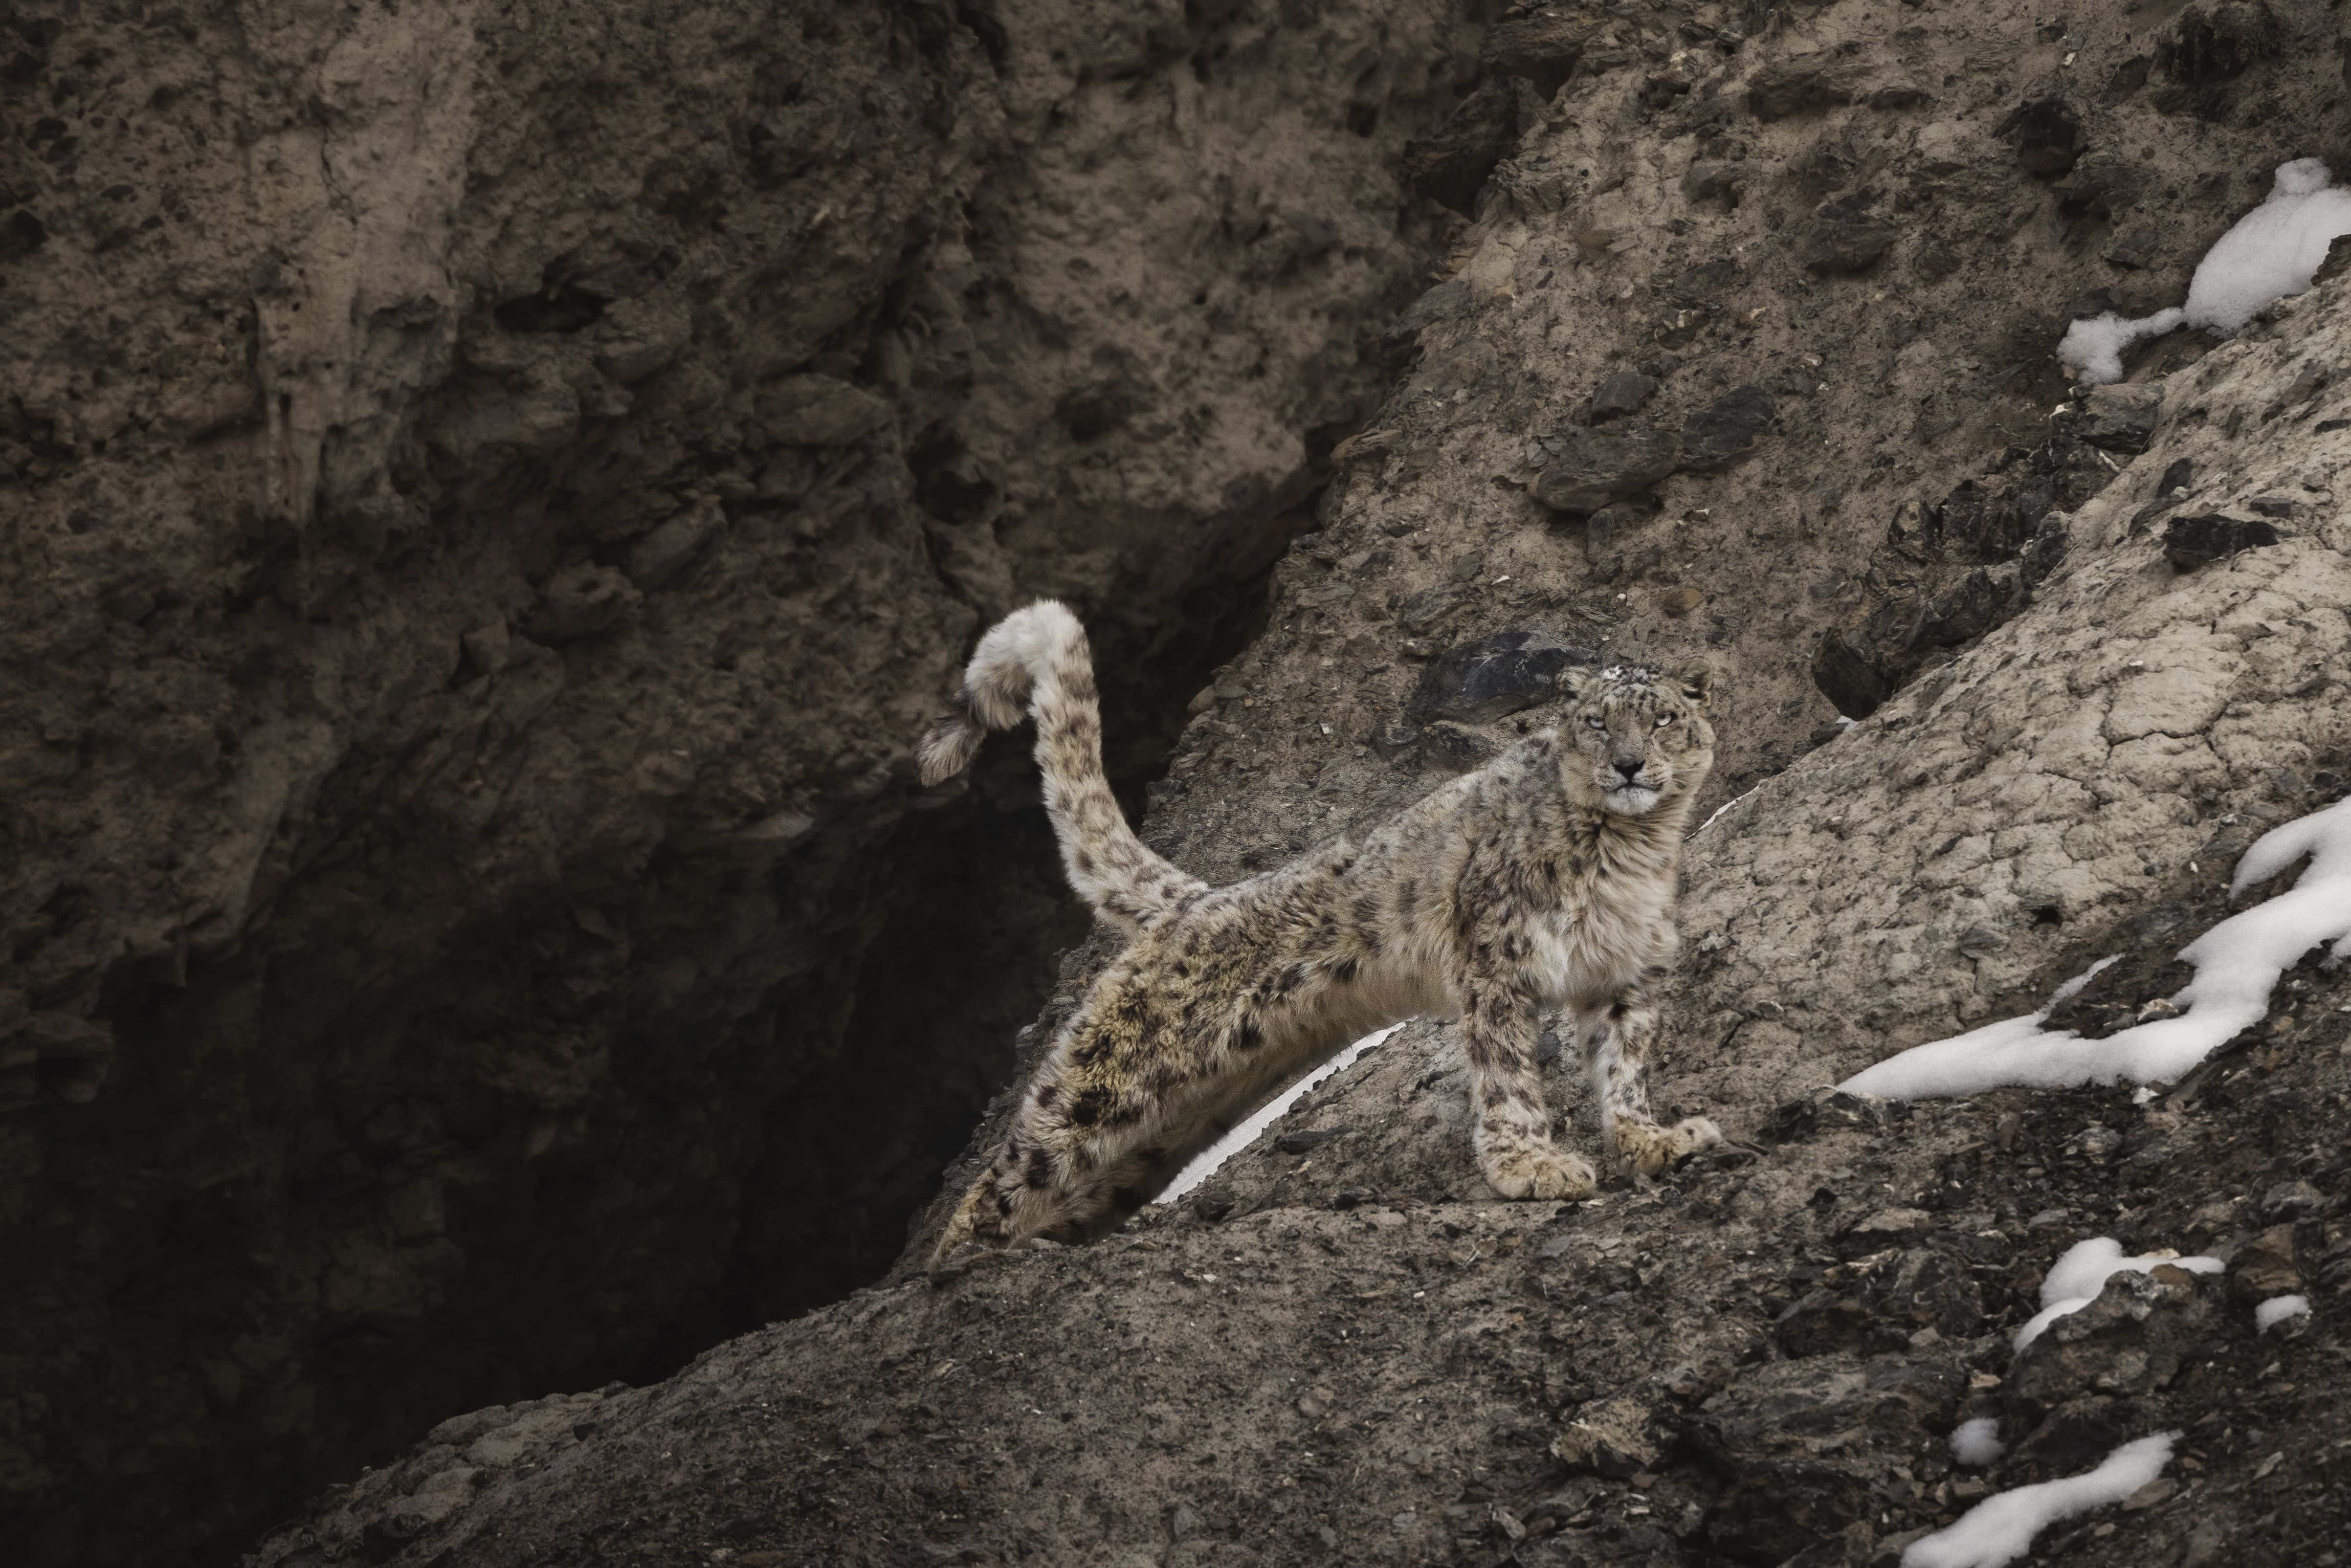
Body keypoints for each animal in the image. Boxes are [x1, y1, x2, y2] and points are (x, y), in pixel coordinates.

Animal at [917, 600, 1724, 1260]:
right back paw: (952, 1268)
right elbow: (1507, 1077)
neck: (1632, 851)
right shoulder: (1497, 961)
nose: (1629, 763)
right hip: (1111, 1077)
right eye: (1598, 720)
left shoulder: (1625, 975)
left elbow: (1624, 1067)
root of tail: (1195, 899)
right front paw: (1533, 1166)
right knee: (1019, 1163)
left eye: (1661, 718)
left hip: (1179, 1118)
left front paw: (1653, 1139)